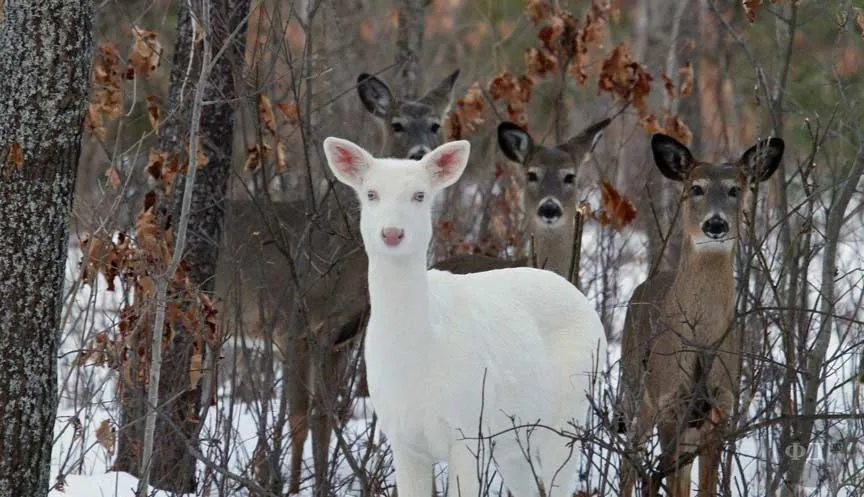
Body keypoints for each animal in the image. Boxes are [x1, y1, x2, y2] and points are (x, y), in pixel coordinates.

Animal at [318, 138, 608, 496]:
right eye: (371, 193)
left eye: (420, 195)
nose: (392, 233)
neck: (417, 354)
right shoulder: (403, 440)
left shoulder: (467, 430)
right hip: (513, 441)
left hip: (569, 412)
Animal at [616, 133, 788, 496]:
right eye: (696, 188)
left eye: (735, 189)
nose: (716, 223)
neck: (701, 339)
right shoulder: (668, 401)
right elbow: (669, 480)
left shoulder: (721, 407)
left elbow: (704, 485)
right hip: (636, 390)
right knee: (630, 459)